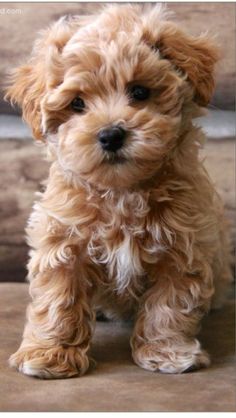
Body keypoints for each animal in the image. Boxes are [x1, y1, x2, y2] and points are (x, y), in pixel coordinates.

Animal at [6, 3, 232, 378]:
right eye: (77, 104)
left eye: (140, 92)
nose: (111, 134)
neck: (122, 192)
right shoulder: (62, 240)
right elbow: (58, 298)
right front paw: (50, 354)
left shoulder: (184, 246)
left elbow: (170, 304)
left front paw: (167, 352)